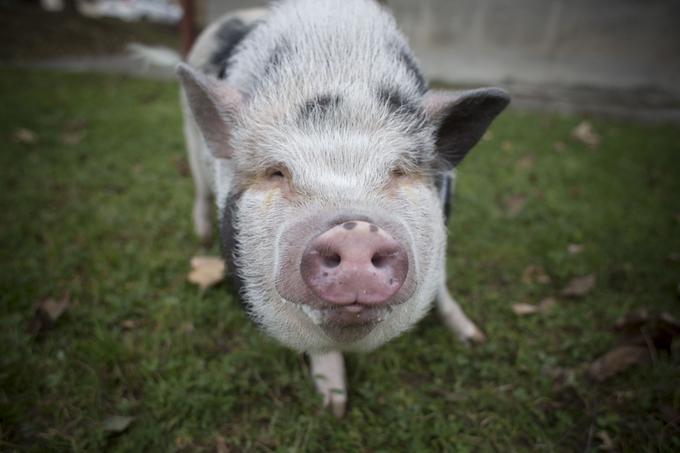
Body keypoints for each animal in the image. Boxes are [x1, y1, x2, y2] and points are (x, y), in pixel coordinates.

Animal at [178, 0, 508, 416]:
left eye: (399, 170)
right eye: (276, 172)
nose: (356, 232)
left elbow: (442, 283)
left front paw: (473, 337)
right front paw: (333, 407)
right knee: (199, 192)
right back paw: (202, 236)